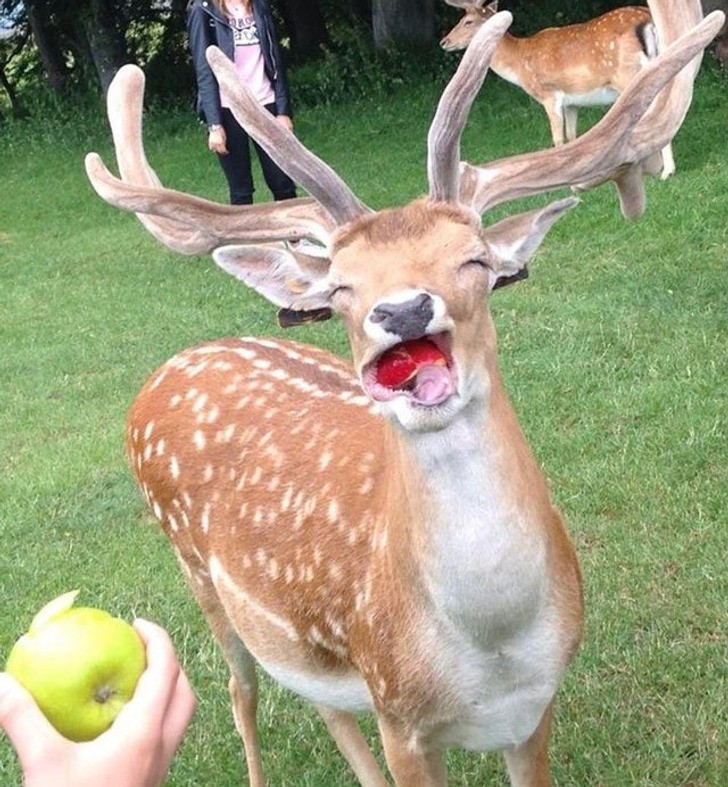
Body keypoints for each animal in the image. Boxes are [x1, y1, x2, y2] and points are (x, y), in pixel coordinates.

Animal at [440, 1, 680, 179]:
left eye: (468, 21)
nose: (444, 41)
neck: (520, 65)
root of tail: (648, 21)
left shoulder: (549, 94)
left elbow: (558, 139)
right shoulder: (571, 102)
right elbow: (572, 137)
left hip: (628, 76)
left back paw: (666, 171)